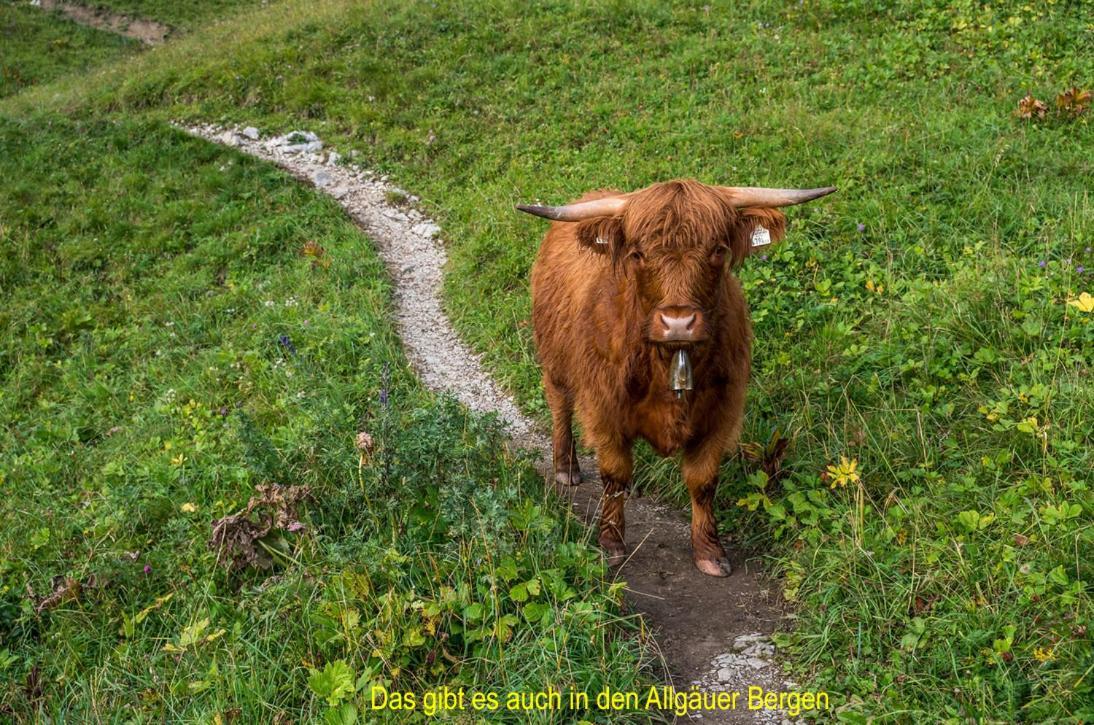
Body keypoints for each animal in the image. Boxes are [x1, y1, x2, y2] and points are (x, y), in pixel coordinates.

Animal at [516, 181, 831, 577]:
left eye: (718, 250)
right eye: (637, 254)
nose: (678, 323)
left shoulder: (721, 413)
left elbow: (703, 481)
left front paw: (710, 552)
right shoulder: (605, 409)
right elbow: (614, 474)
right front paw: (611, 543)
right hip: (554, 361)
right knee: (560, 406)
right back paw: (566, 468)